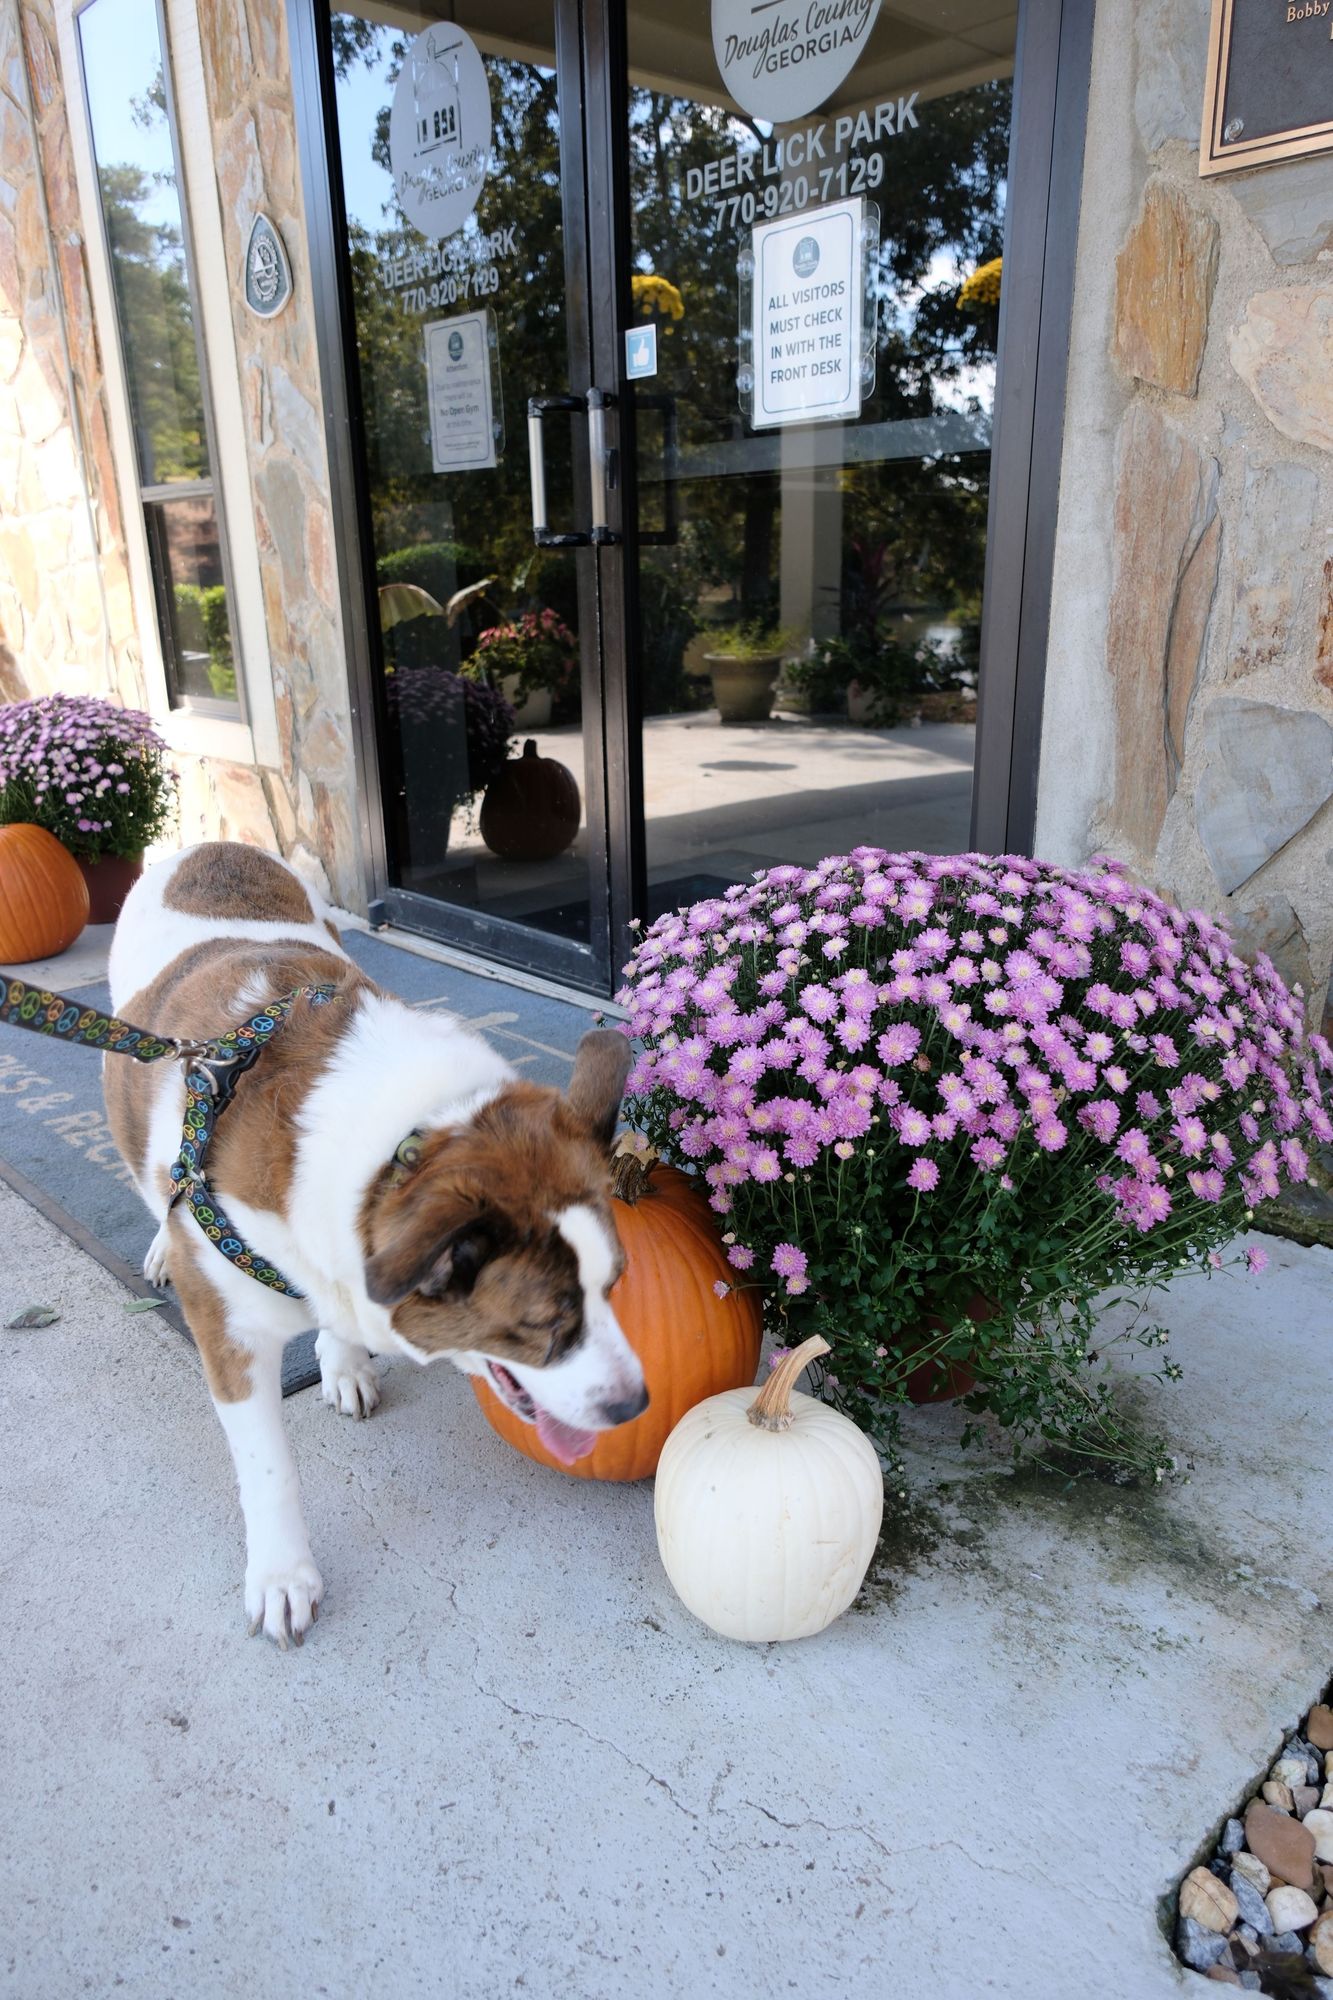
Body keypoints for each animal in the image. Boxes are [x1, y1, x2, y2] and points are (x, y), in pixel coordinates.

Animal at [104, 840, 644, 1640]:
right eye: (541, 1325)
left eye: (615, 1286)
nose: (635, 1408)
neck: (404, 1147)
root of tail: (209, 846)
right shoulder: (227, 1330)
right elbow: (268, 1468)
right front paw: (282, 1573)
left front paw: (343, 1358)